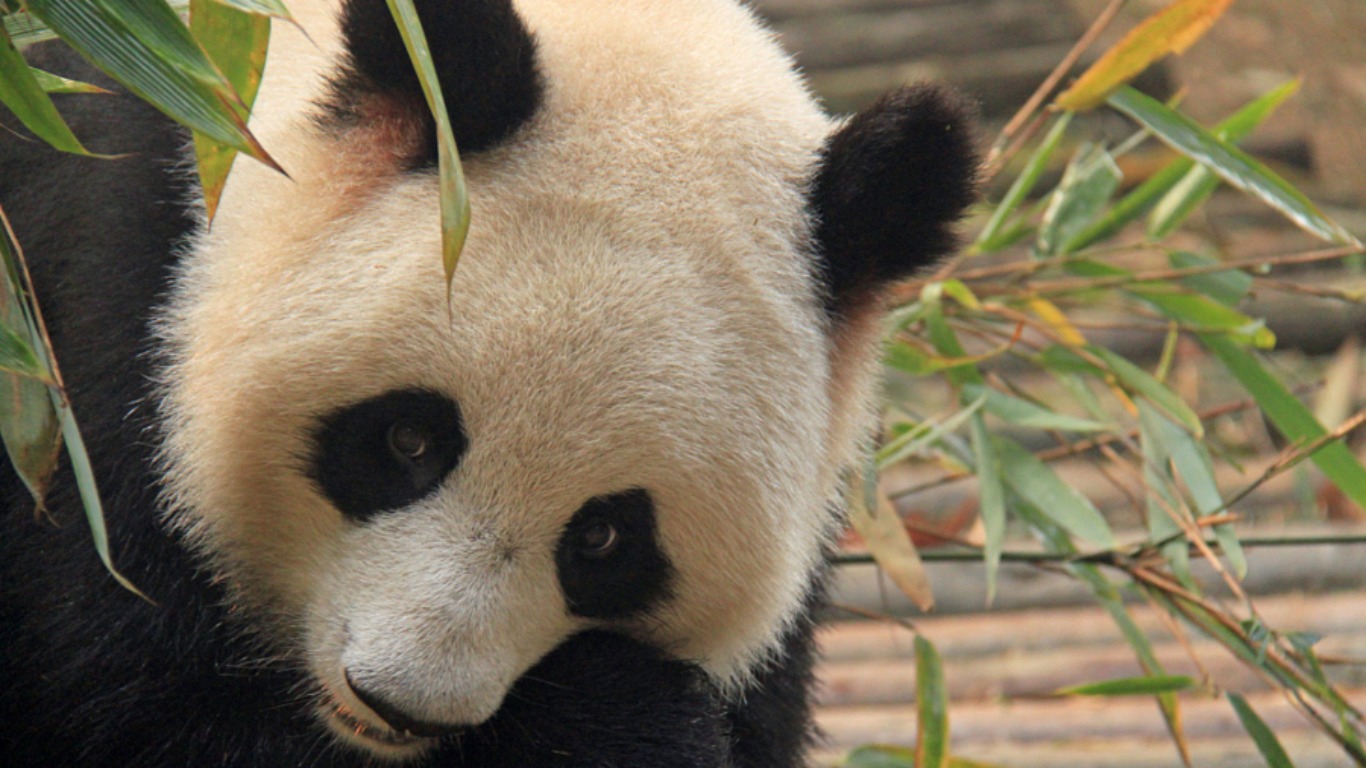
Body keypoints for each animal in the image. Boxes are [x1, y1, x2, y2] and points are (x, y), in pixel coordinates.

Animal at [0, 1, 972, 765]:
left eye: (606, 539)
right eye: (408, 439)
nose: (399, 702)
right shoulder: (96, 349)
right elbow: (151, 699)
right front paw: (614, 715)